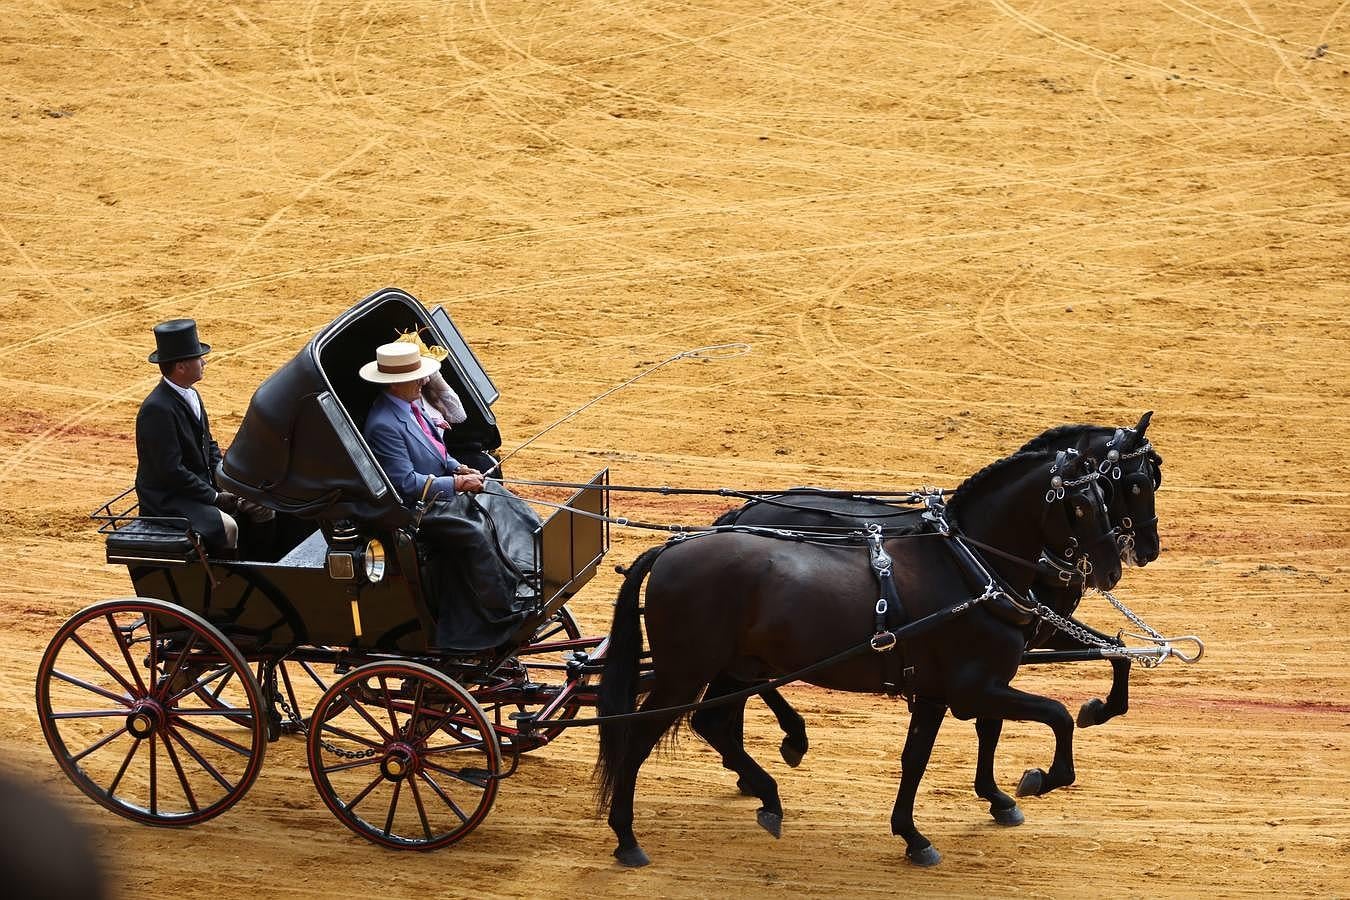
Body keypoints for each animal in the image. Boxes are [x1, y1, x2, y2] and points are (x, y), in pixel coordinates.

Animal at [599, 442, 1117, 863]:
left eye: (1108, 497)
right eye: (1081, 506)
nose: (1111, 569)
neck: (967, 568)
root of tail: (670, 550)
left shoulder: (939, 693)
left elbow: (916, 758)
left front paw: (914, 836)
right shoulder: (975, 688)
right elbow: (1058, 716)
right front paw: (1042, 778)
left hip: (735, 668)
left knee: (711, 723)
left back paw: (769, 794)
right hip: (684, 674)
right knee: (638, 736)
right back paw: (626, 837)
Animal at [696, 415, 1161, 814]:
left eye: (1154, 478)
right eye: (1135, 484)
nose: (1142, 553)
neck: (973, 553)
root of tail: (744, 512)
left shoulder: (1021, 640)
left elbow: (1113, 652)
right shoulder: (1009, 646)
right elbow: (994, 719)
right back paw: (786, 741)